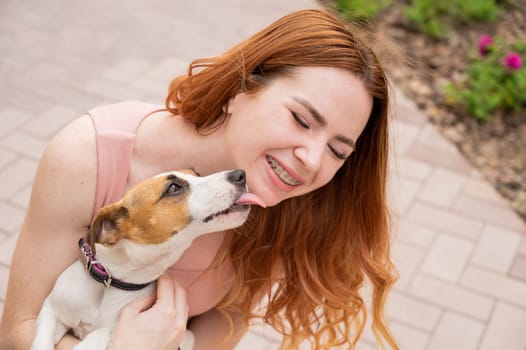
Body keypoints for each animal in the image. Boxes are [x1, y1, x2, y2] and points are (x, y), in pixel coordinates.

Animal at [31, 170, 266, 350]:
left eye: (197, 175)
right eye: (174, 188)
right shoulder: (51, 310)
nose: (240, 174)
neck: (111, 283)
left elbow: (101, 335)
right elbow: (42, 339)